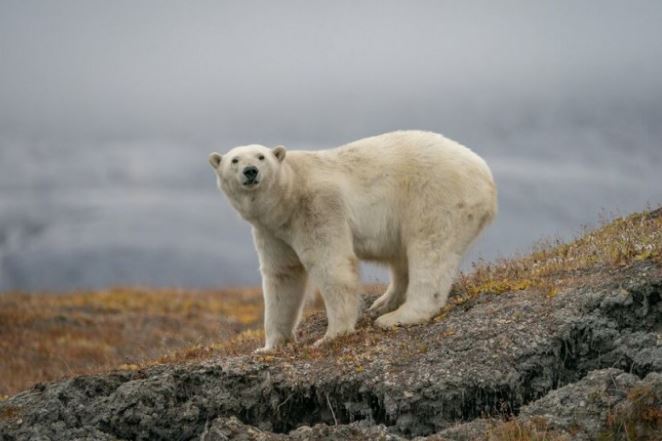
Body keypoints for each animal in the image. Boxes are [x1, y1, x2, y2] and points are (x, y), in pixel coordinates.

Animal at [210, 131, 496, 350]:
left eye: (261, 156)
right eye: (234, 160)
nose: (250, 171)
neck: (287, 196)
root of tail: (485, 174)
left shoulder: (317, 207)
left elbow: (332, 266)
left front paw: (331, 335)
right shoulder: (271, 230)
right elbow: (282, 276)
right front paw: (269, 346)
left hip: (438, 196)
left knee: (430, 249)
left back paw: (397, 316)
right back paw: (383, 303)